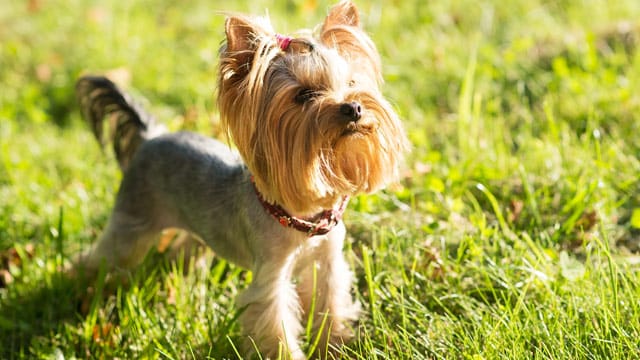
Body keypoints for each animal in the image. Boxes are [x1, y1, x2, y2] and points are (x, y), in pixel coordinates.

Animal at [74, 2, 404, 358]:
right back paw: (80, 285)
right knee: (105, 255)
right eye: (304, 94)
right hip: (131, 222)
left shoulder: (328, 261)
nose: (354, 108)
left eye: (353, 81)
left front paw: (334, 345)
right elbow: (275, 324)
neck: (303, 216)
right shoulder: (271, 275)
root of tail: (151, 136)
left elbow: (331, 303)